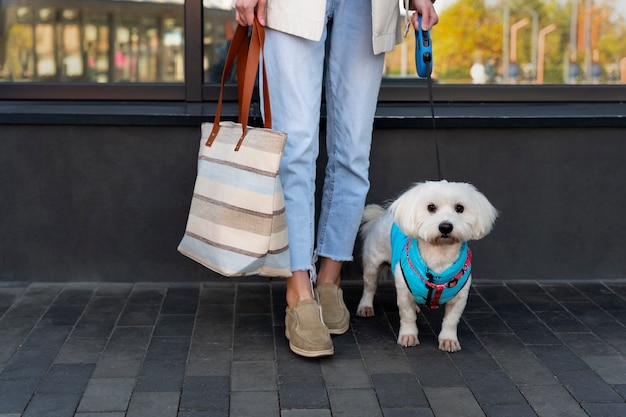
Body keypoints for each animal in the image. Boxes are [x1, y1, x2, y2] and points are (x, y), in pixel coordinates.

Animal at [356, 179, 498, 352]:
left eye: (460, 208)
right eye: (431, 207)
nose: (445, 226)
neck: (439, 257)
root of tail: (383, 216)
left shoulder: (460, 297)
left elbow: (451, 320)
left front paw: (448, 339)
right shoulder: (404, 293)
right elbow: (407, 315)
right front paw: (408, 335)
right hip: (372, 263)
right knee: (369, 287)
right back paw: (365, 306)